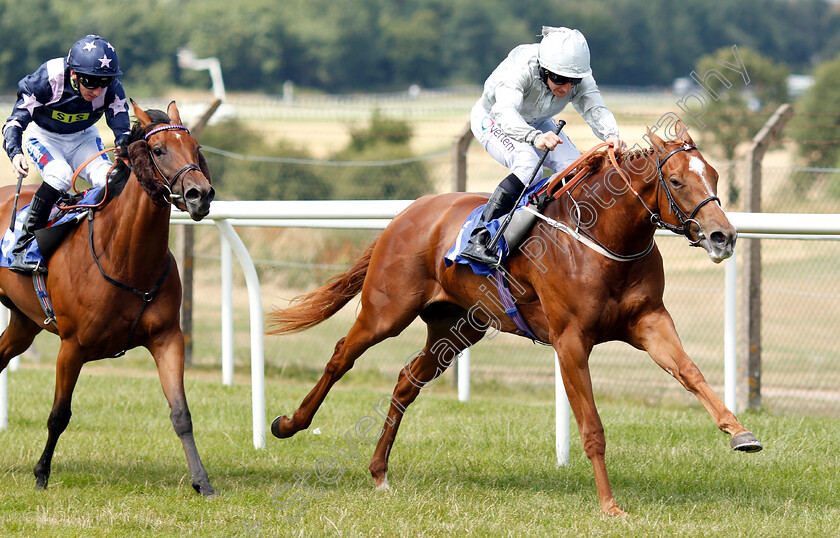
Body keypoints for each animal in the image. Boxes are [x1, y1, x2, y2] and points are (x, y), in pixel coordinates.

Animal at [0, 99, 218, 494]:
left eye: (196, 149)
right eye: (158, 150)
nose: (200, 194)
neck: (126, 258)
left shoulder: (167, 338)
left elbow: (181, 413)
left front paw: (202, 481)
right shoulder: (72, 346)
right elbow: (59, 415)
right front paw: (41, 474)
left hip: (24, 324)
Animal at [268, 122, 760, 516]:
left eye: (714, 175)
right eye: (676, 180)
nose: (724, 236)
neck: (602, 238)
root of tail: (408, 212)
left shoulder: (650, 321)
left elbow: (691, 373)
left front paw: (739, 432)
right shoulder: (570, 339)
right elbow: (592, 426)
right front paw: (609, 505)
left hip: (457, 327)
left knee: (407, 380)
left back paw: (379, 471)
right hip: (386, 311)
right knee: (340, 357)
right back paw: (289, 424)